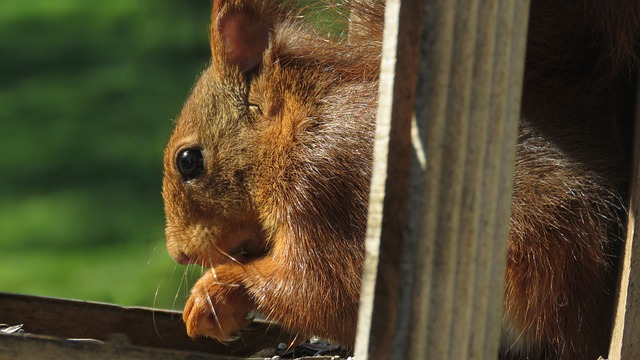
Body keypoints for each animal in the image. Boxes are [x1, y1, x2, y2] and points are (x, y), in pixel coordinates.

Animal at [161, 1, 640, 358]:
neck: (296, 125)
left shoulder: (325, 185)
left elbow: (328, 293)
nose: (179, 254)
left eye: (189, 161)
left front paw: (213, 295)